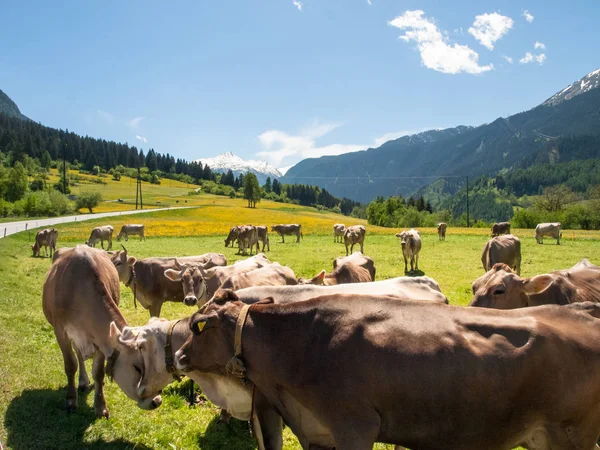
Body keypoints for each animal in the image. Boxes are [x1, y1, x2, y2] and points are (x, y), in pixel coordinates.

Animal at [42, 246, 162, 418]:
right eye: (138, 368)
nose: (156, 401)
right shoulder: (61, 332)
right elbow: (70, 365)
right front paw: (71, 401)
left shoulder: (99, 338)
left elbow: (98, 373)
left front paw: (100, 406)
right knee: (78, 355)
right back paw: (82, 382)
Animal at [177, 294, 600, 450]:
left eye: (199, 326)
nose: (178, 355)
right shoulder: (317, 431)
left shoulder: (355, 427)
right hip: (541, 438)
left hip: (571, 434)